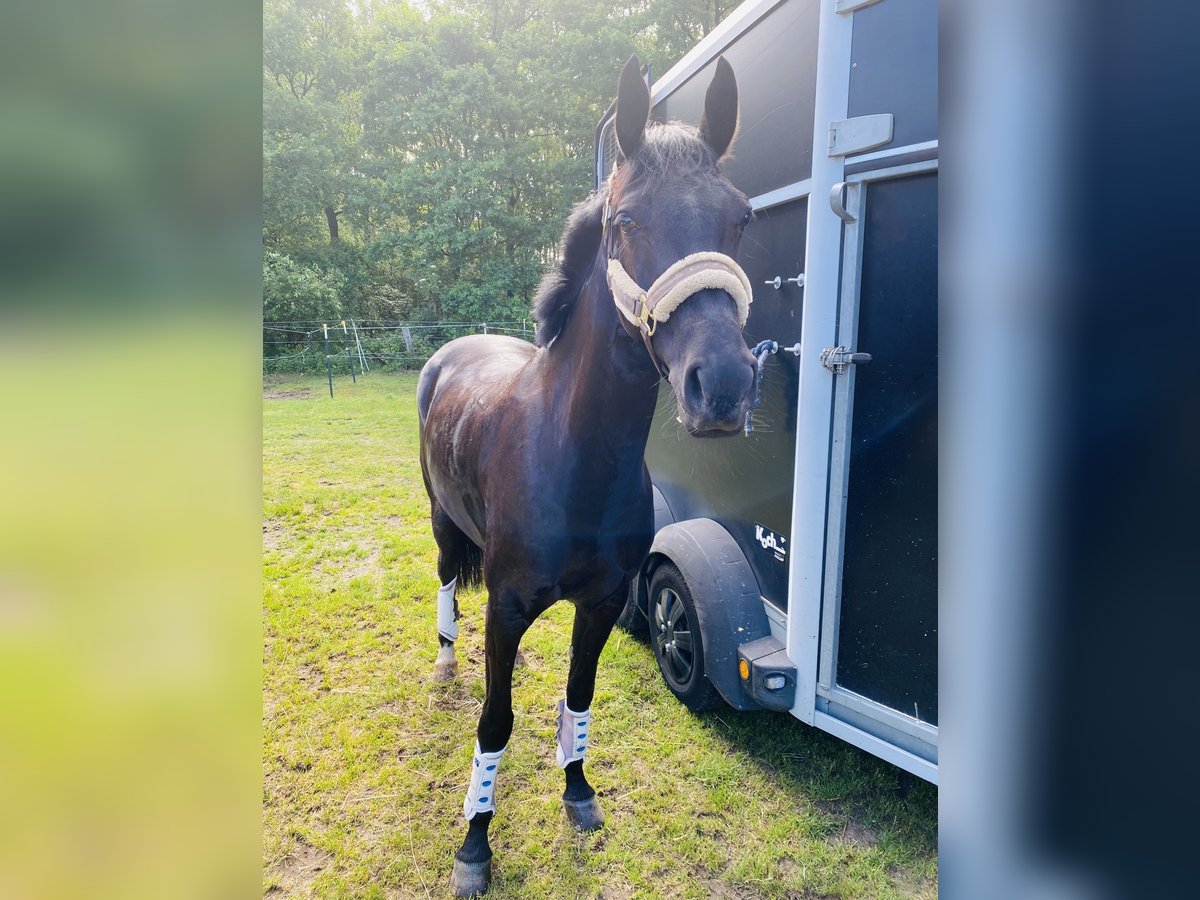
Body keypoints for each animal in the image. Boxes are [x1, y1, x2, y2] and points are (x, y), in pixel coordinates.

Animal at [417, 54, 753, 897]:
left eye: (739, 219)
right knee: (445, 582)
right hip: (439, 521)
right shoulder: (506, 610)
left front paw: (577, 792)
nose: (723, 386)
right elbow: (496, 719)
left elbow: (578, 693)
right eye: (624, 221)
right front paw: (475, 844)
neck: (571, 462)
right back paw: (443, 658)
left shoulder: (600, 603)